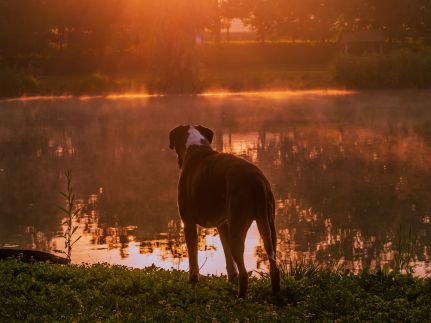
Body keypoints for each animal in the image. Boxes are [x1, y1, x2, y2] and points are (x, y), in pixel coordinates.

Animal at [169, 124, 280, 298]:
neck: (196, 147)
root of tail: (256, 179)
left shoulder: (188, 224)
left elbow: (193, 259)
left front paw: (192, 282)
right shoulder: (223, 224)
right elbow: (227, 256)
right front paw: (231, 278)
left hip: (238, 228)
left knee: (244, 273)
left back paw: (240, 298)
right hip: (268, 227)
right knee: (274, 266)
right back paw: (275, 295)